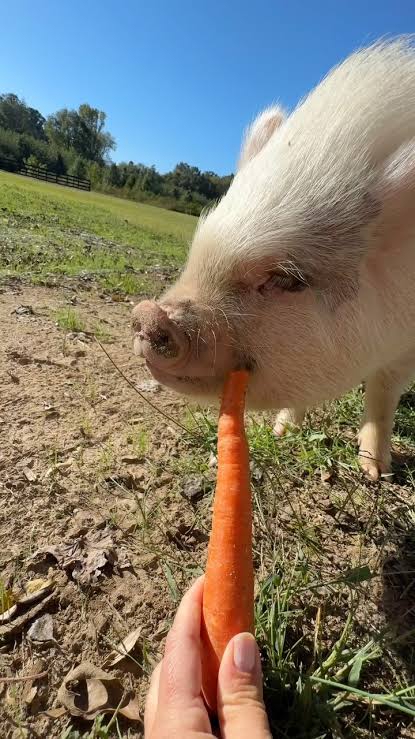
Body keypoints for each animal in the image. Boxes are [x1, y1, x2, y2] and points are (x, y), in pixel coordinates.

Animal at [133, 39, 415, 481]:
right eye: (196, 245)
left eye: (287, 279)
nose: (148, 313)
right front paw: (284, 432)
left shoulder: (404, 348)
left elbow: (382, 391)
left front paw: (374, 473)